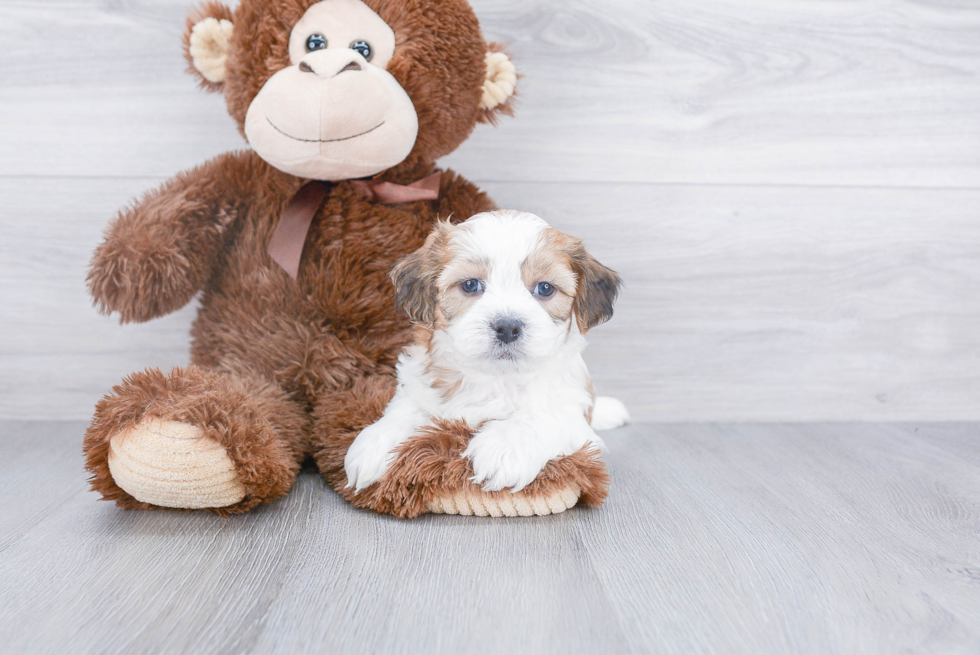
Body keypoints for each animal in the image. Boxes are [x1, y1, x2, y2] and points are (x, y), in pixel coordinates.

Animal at [344, 210, 632, 492]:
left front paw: (505, 445)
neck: (495, 378)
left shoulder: (571, 412)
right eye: (470, 285)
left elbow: (544, 415)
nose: (507, 327)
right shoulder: (419, 385)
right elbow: (407, 409)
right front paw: (377, 442)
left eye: (545, 288)